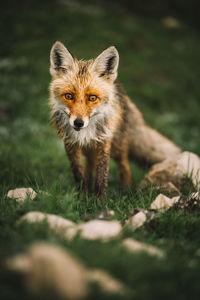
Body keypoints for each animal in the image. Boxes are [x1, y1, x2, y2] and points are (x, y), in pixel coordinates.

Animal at [48, 40, 181, 199]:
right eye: (68, 96)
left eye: (92, 98)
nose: (78, 122)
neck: (85, 133)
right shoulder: (71, 145)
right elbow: (79, 174)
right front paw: (83, 198)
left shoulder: (104, 142)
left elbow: (102, 174)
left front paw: (100, 201)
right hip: (90, 150)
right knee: (90, 166)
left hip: (118, 146)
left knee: (125, 166)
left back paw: (124, 192)